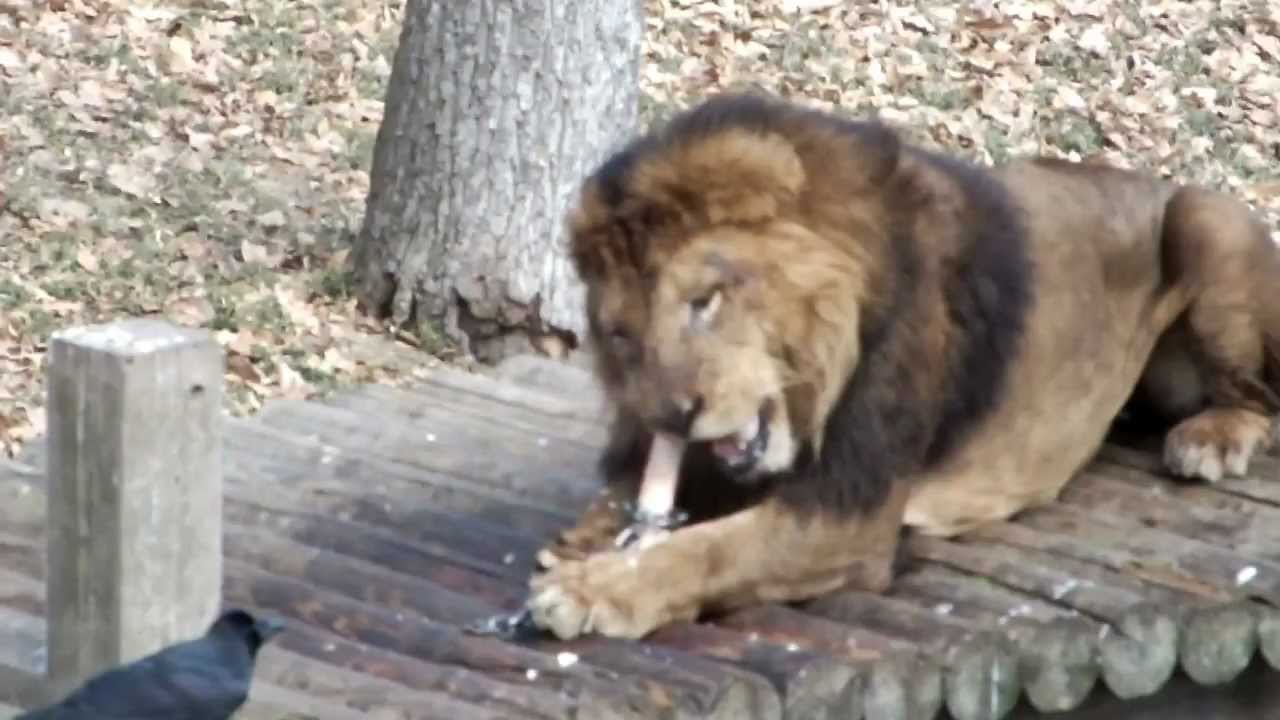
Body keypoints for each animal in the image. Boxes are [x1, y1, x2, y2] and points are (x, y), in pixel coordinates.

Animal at [525, 92, 1280, 641]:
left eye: (703, 300)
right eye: (621, 335)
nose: (674, 416)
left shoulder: (848, 515)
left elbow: (706, 551)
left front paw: (596, 588)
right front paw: (590, 537)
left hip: (1201, 217)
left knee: (1260, 399)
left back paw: (1211, 439)